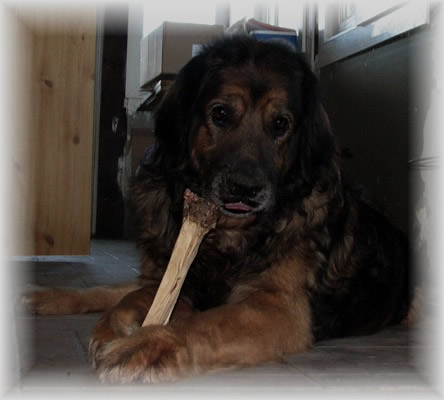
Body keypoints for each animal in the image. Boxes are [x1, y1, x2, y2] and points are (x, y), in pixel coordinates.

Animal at [24, 37, 412, 384]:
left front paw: (149, 343)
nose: (245, 189)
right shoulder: (168, 274)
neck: (225, 237)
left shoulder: (277, 306)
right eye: (221, 113)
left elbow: (204, 323)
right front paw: (94, 314)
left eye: (280, 124)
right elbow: (122, 292)